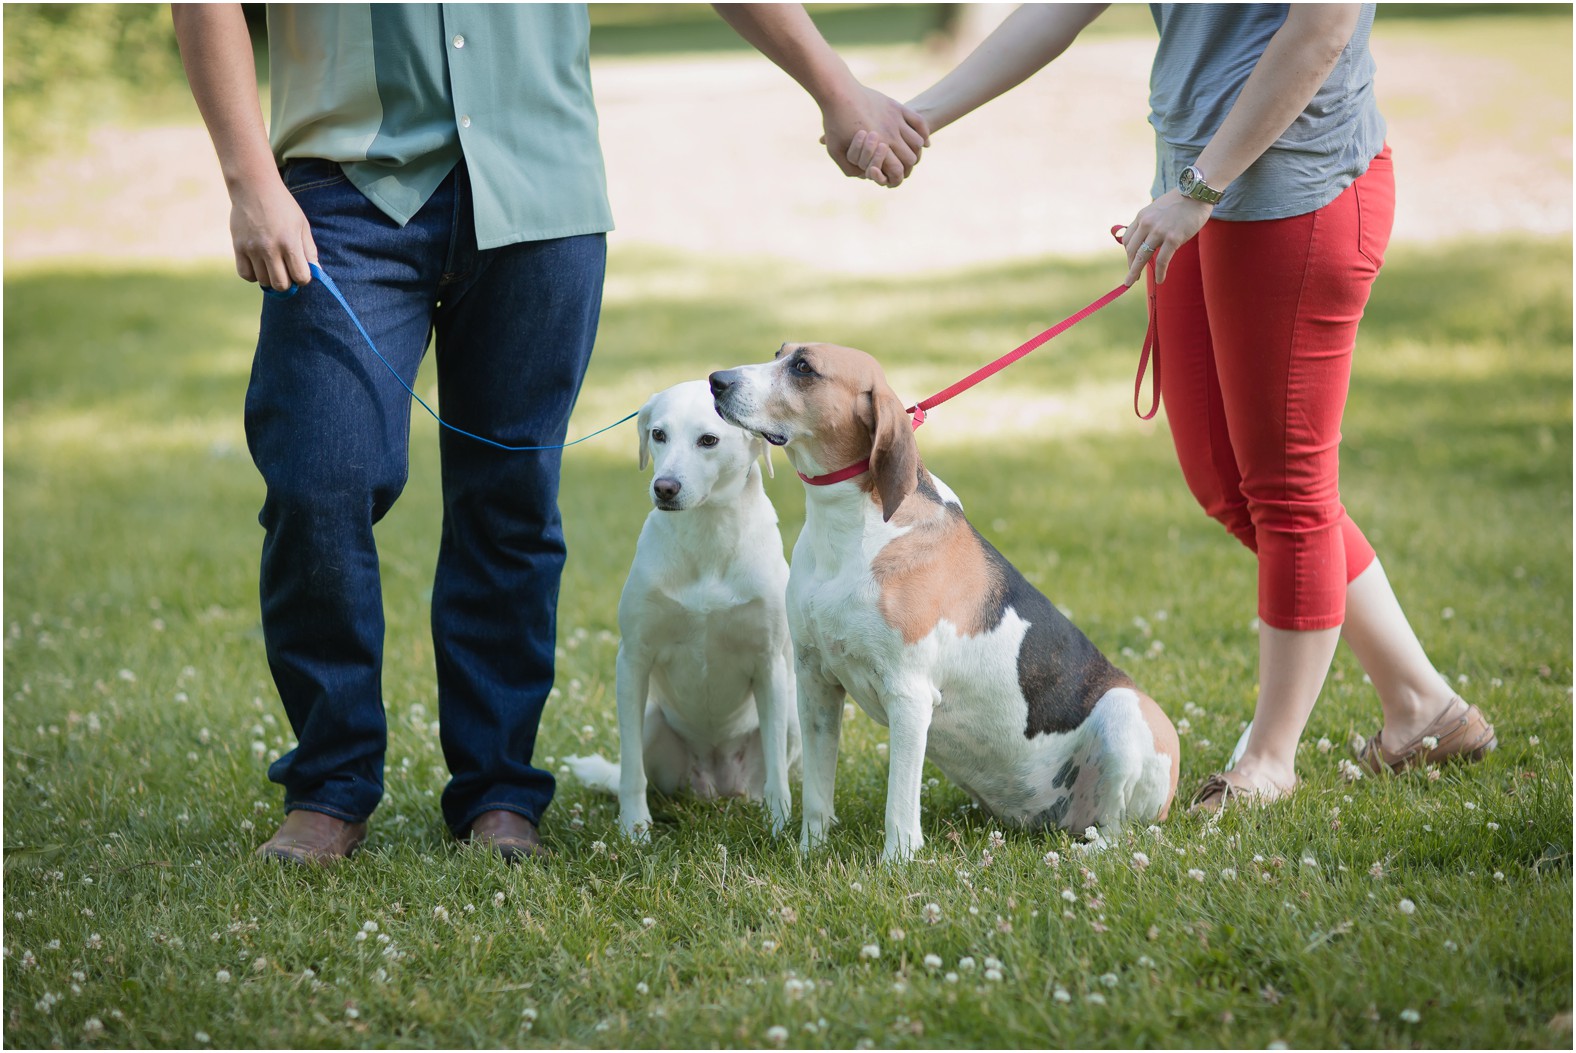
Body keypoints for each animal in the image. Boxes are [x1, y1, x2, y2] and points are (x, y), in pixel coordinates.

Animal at [564, 379, 794, 838]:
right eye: (658, 434)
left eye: (708, 440)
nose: (664, 487)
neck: (707, 533)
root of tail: (717, 787)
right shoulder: (632, 661)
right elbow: (630, 771)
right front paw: (633, 828)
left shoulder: (771, 664)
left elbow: (778, 768)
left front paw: (781, 826)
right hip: (653, 723)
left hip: (793, 716)